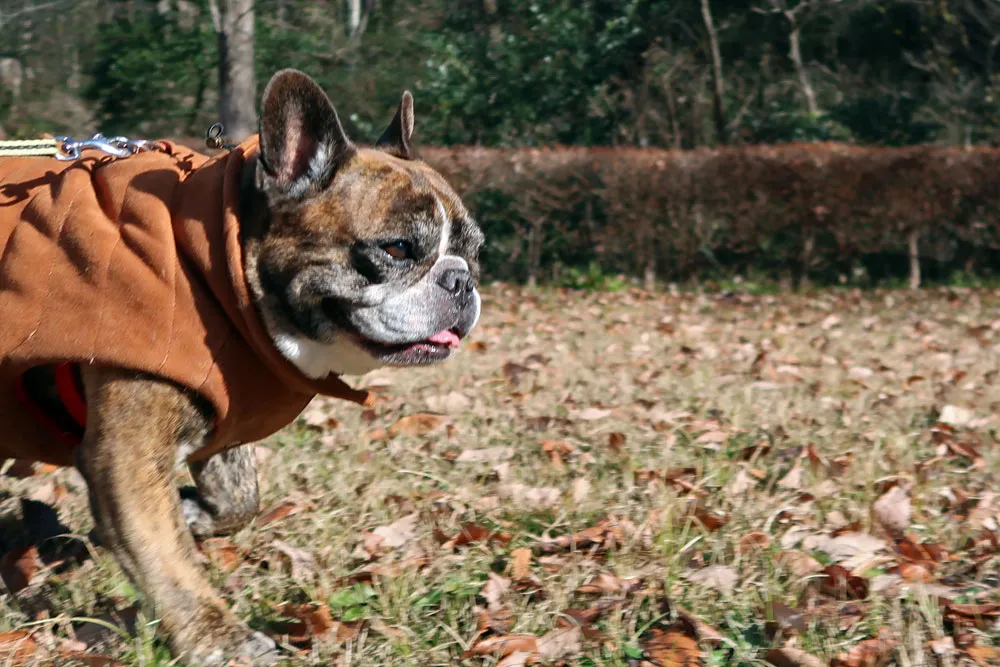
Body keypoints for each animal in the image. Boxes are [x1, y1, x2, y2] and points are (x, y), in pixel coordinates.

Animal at [0, 68, 484, 664]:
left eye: (477, 252)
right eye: (396, 249)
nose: (461, 281)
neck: (224, 271)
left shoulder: (221, 409)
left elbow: (241, 497)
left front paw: (198, 514)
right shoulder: (127, 457)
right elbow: (165, 558)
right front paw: (219, 640)